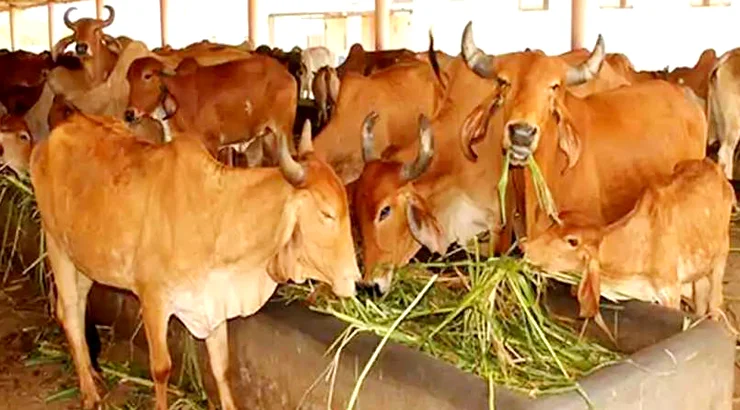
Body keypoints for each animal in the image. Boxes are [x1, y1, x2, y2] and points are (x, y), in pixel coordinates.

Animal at [29, 113, 361, 410]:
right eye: (327, 213)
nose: (354, 278)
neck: (215, 215)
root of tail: (52, 137)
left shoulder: (214, 301)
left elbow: (221, 366)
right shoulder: (153, 299)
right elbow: (161, 368)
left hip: (84, 262)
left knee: (78, 308)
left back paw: (94, 375)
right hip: (57, 248)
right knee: (69, 314)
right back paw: (90, 393)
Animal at [124, 55, 297, 166]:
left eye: (147, 76)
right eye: (128, 79)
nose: (129, 114)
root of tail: (286, 73)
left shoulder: (211, 144)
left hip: (283, 132)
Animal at [523, 158, 732, 324]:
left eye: (572, 241)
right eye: (553, 225)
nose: (525, 247)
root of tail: (712, 165)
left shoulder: (670, 291)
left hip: (721, 256)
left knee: (714, 302)